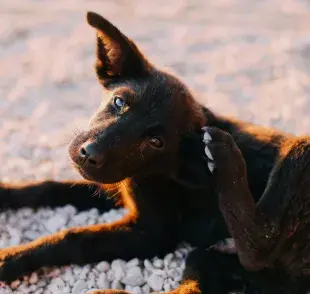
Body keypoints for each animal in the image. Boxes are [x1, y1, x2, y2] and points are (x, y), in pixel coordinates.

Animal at [0, 10, 308, 292]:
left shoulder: (150, 233)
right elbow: (49, 187)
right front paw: (6, 193)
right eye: (119, 101)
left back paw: (224, 157)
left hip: (300, 151)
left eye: (156, 141)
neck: (161, 171)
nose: (88, 153)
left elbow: (74, 238)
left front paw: (11, 258)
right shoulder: (116, 188)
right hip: (227, 264)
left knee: (258, 248)